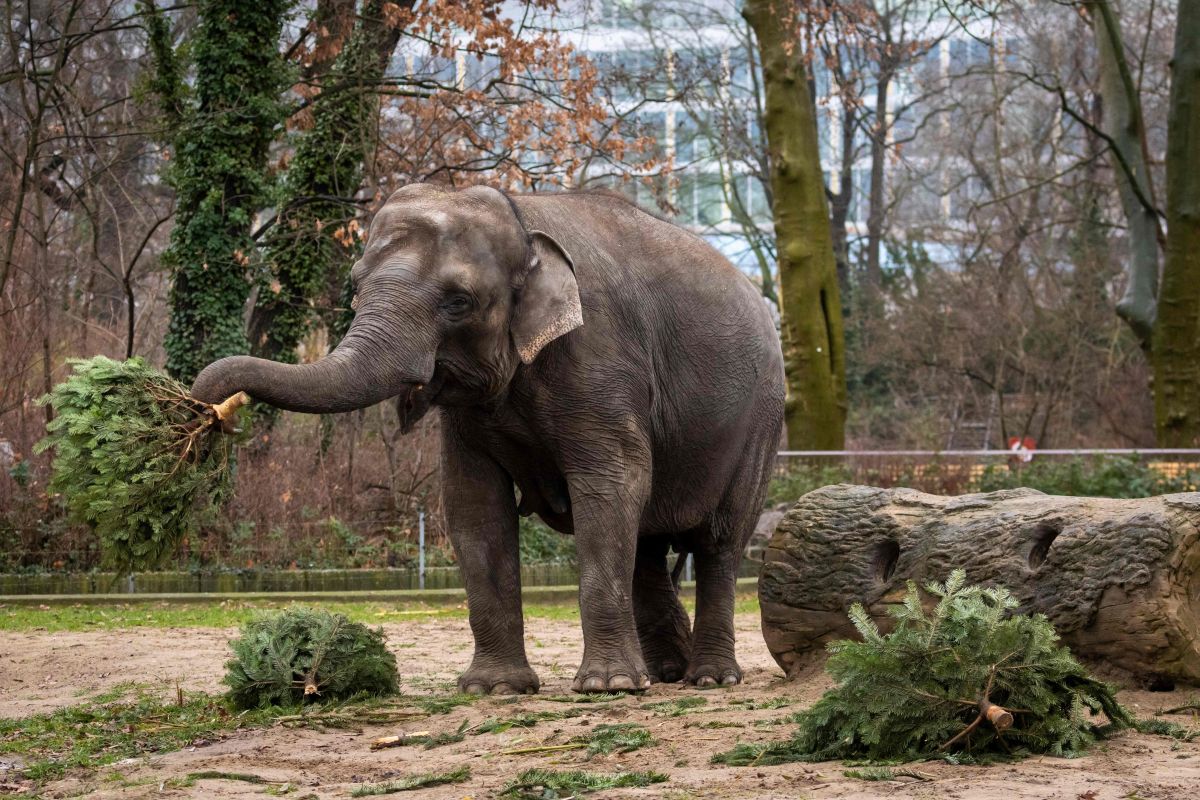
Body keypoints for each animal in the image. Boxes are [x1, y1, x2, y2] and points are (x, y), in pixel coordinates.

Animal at [190, 183, 782, 695]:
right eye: (356, 287)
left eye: (458, 301)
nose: (211, 414)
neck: (518, 216)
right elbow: (474, 504)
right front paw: (494, 688)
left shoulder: (600, 356)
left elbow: (610, 486)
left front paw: (604, 688)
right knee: (649, 543)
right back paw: (664, 673)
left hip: (762, 420)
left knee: (719, 542)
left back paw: (709, 678)